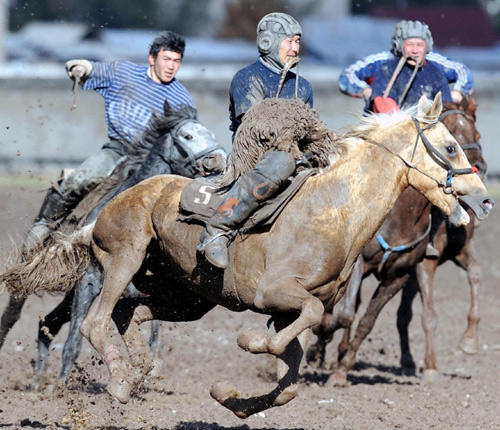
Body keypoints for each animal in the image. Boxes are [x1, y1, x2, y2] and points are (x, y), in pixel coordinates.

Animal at [0, 101, 225, 386]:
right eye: (187, 136)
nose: (220, 160)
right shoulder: (88, 282)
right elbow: (74, 341)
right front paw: (63, 386)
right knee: (17, 312)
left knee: (48, 324)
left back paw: (40, 379)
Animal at [304, 96, 488, 382]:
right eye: (451, 145)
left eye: (477, 134)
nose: (481, 170)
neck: (404, 216)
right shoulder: (361, 264)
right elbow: (344, 314)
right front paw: (323, 346)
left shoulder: (401, 275)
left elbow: (367, 320)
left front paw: (343, 368)